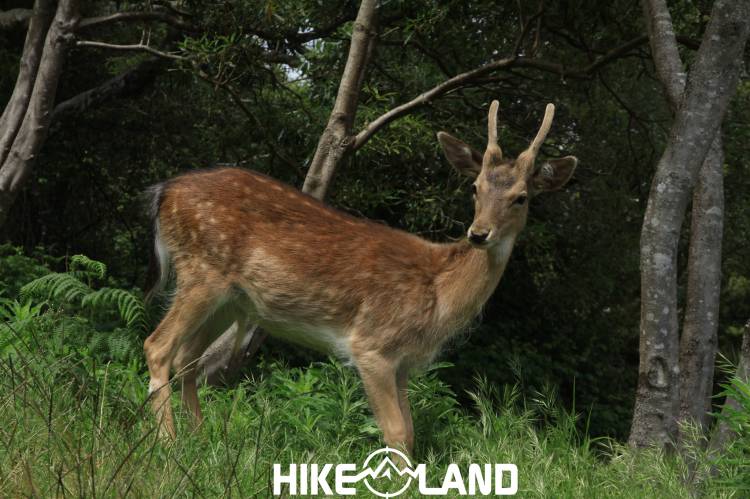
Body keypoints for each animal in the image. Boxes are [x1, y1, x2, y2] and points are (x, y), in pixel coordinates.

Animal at [144, 99, 580, 456]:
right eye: (474, 188)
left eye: (521, 197)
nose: (478, 233)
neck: (439, 295)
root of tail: (164, 192)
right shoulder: (371, 343)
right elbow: (396, 433)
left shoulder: (404, 363)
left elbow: (411, 432)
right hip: (202, 272)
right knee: (158, 347)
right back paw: (168, 445)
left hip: (229, 298)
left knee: (187, 359)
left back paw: (200, 440)